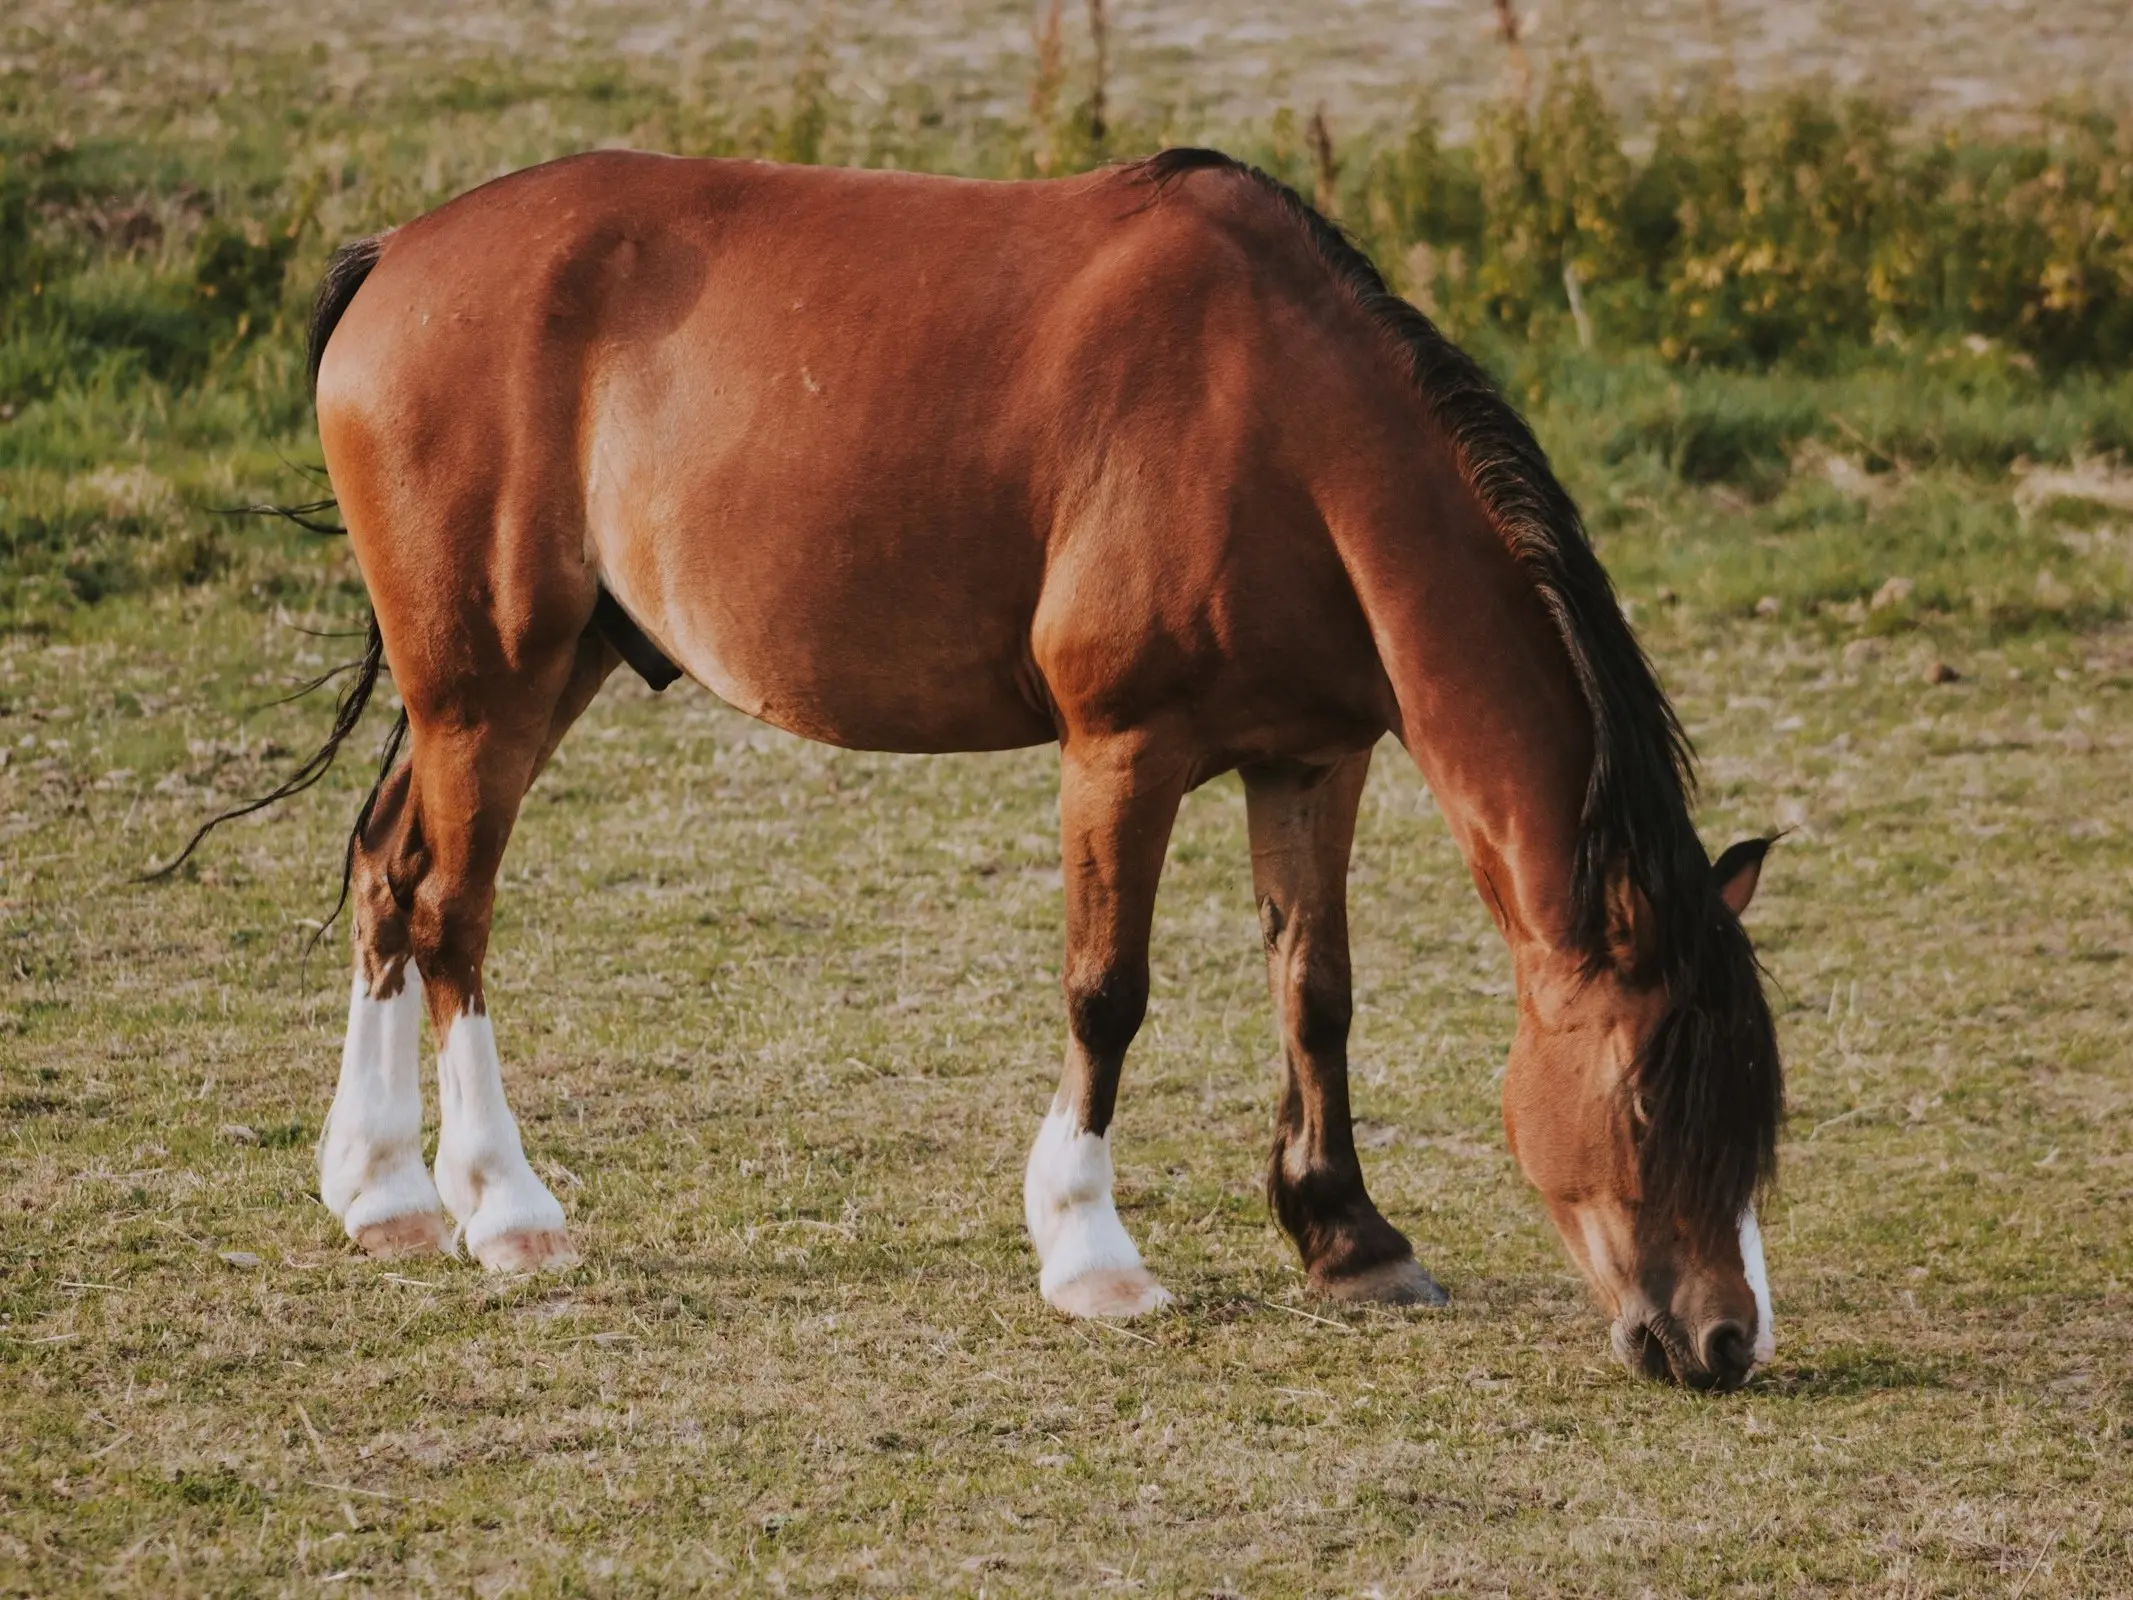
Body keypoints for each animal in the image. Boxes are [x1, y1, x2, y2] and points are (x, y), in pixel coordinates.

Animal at [207, 147, 1783, 1390]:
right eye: (1652, 1100)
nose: (1719, 1340)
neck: (1283, 426)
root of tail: (397, 255)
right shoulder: (1123, 751)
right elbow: (1108, 995)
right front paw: (1091, 1252)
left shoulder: (1311, 760)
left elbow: (1316, 991)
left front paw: (1347, 1233)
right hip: (490, 686)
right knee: (452, 916)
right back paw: (505, 1209)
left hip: (533, 678)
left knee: (385, 872)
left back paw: (384, 1191)